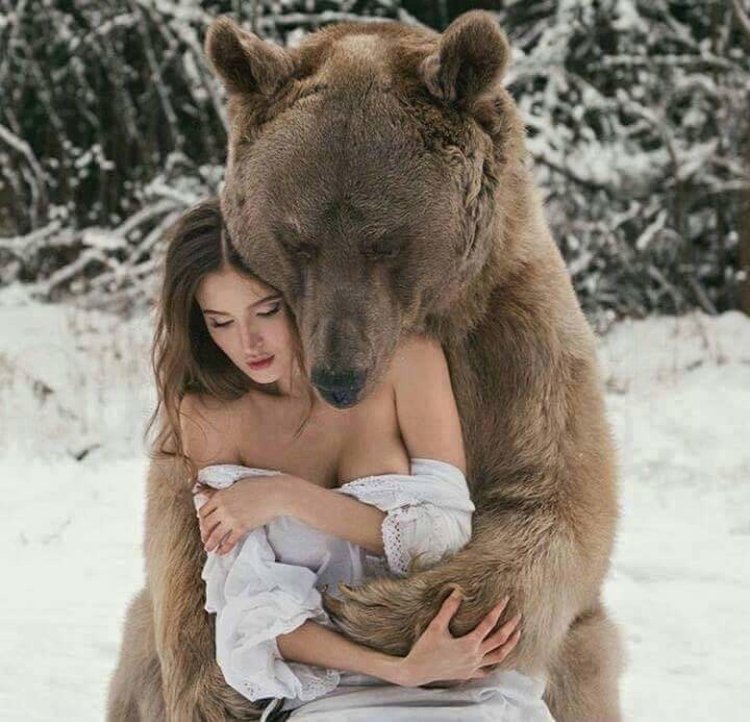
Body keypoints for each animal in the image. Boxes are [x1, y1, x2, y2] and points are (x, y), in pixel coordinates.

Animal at [107, 11, 622, 722]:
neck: (430, 320)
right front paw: (221, 686)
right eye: (297, 239)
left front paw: (373, 612)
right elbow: (182, 527)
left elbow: (555, 502)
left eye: (387, 242)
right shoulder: (195, 422)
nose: (340, 376)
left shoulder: (514, 342)